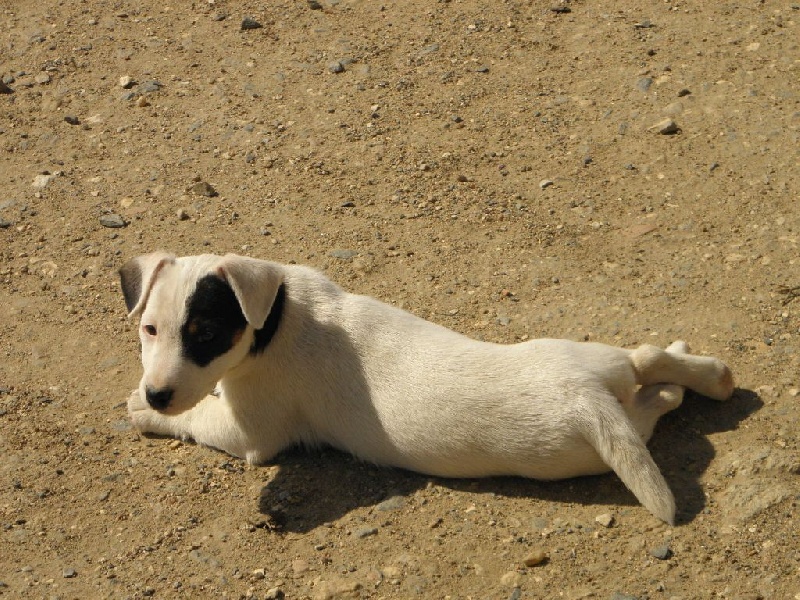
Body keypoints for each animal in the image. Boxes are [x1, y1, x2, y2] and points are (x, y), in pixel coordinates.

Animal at [120, 251, 736, 524]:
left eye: (204, 334)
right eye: (149, 329)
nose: (156, 393)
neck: (276, 315)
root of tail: (586, 400)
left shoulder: (250, 433)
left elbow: (196, 417)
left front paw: (142, 411)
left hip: (564, 453)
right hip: (598, 367)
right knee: (649, 368)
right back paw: (709, 375)